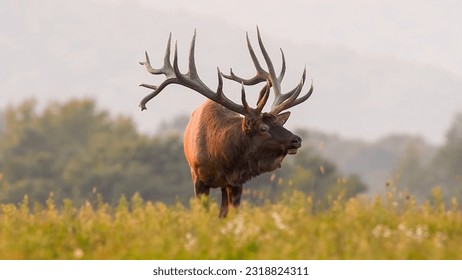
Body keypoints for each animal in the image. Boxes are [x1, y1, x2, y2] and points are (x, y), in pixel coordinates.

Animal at [139, 28, 314, 217]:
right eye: (263, 127)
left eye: (280, 124)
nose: (297, 139)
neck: (220, 158)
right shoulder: (198, 178)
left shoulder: (236, 182)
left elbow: (229, 214)